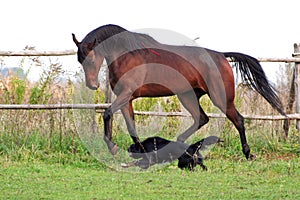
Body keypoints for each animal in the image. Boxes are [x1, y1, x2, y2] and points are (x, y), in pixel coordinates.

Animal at [71, 24, 284, 160]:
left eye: (91, 59)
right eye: (80, 60)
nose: (92, 85)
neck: (127, 55)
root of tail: (221, 56)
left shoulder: (126, 95)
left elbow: (107, 114)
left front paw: (113, 148)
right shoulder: (126, 98)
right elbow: (131, 125)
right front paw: (140, 150)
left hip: (220, 97)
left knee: (237, 119)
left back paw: (248, 154)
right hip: (188, 96)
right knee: (201, 118)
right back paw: (181, 144)